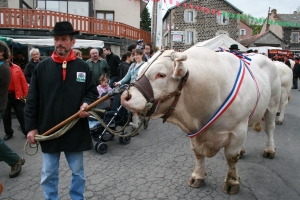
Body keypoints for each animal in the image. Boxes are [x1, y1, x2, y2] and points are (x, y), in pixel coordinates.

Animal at [120, 47, 282, 195]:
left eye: (161, 74)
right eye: (139, 72)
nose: (125, 97)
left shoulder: (237, 129)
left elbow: (231, 157)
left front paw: (231, 182)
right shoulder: (195, 132)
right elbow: (198, 154)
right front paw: (197, 176)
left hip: (272, 104)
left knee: (270, 128)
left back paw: (269, 149)